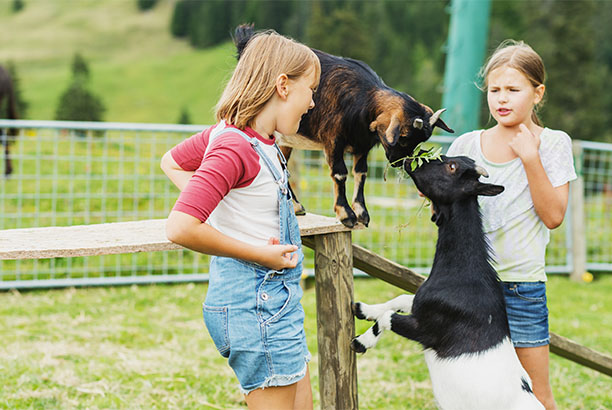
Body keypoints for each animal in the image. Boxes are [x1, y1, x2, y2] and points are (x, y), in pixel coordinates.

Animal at [352, 155, 544, 410]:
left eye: (452, 167)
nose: (410, 159)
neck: (462, 272)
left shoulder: (427, 328)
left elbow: (387, 318)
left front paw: (361, 342)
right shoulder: (422, 304)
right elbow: (401, 299)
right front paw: (362, 309)